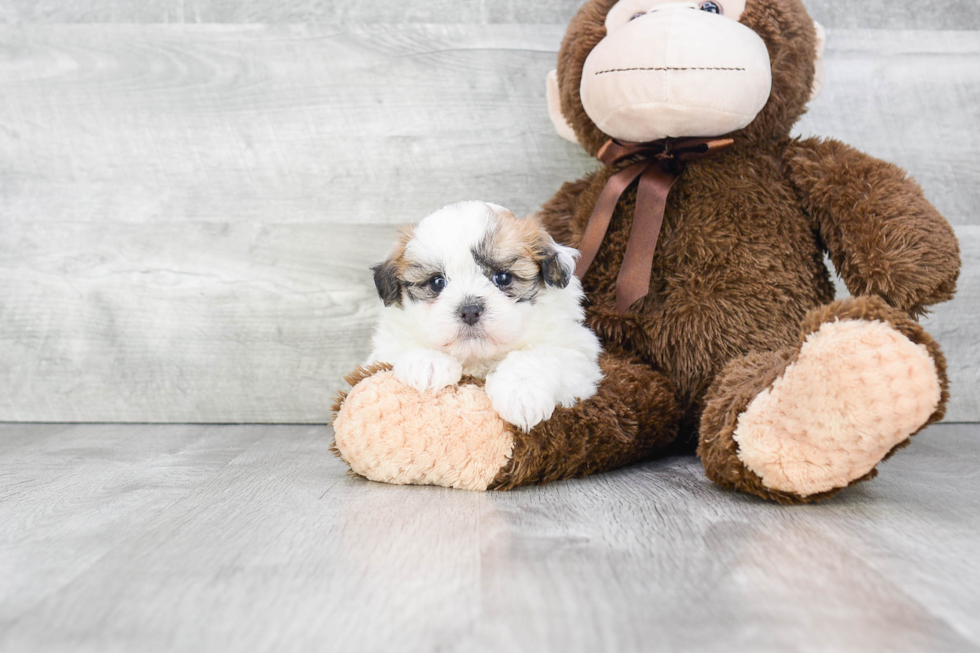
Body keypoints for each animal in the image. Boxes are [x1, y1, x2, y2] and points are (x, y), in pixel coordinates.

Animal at [366, 201, 600, 430]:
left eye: (503, 278)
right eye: (437, 282)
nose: (469, 310)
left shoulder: (578, 356)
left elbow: (539, 355)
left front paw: (521, 393)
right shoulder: (381, 352)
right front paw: (427, 363)